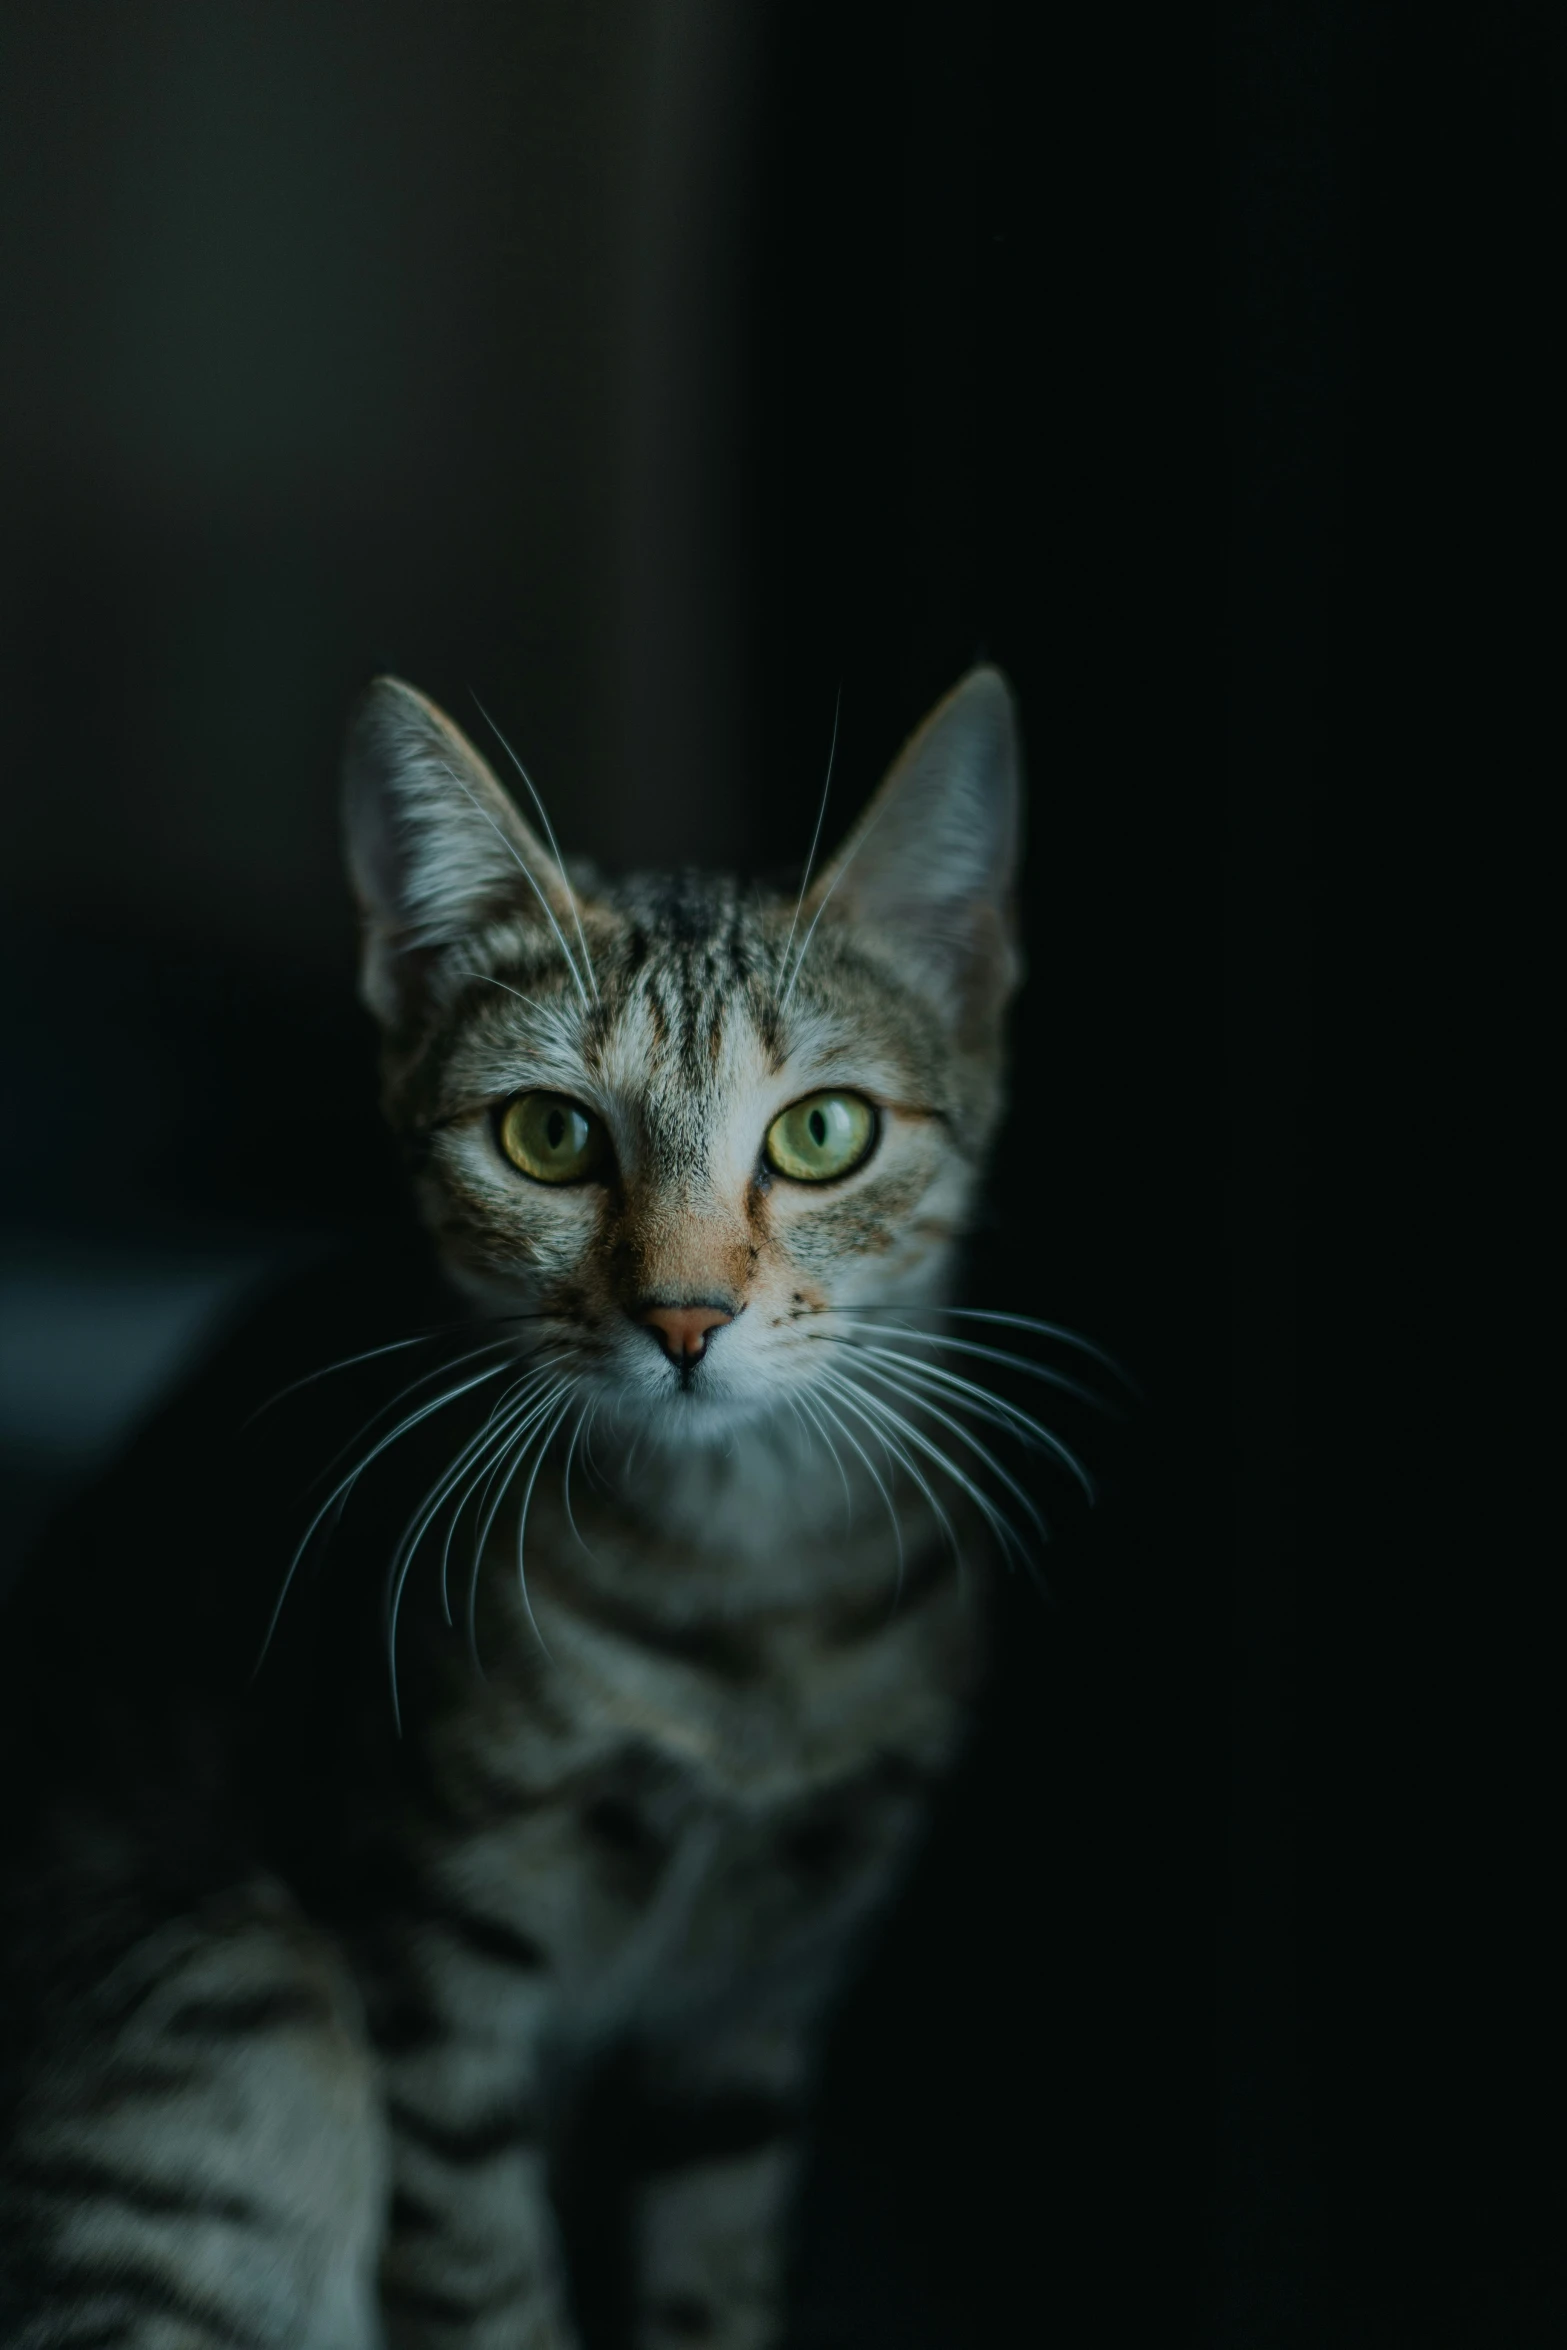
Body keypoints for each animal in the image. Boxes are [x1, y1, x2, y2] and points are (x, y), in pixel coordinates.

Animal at [0, 667, 1080, 2350]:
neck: (739, 1594)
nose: (686, 1316)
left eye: (822, 1130)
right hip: (249, 2001)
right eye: (549, 1135)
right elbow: (485, 2272)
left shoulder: (770, 1981)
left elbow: (712, 2261)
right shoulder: (430, 1953)